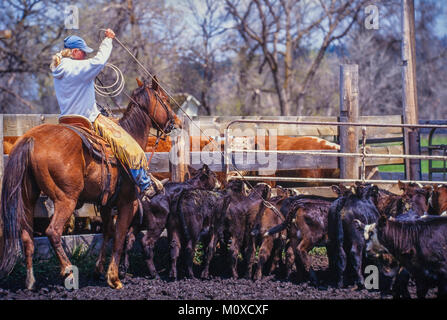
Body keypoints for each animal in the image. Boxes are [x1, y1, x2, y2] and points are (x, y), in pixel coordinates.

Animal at [0, 77, 182, 290]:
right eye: (165, 99)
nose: (177, 122)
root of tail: (31, 138)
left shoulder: (105, 204)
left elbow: (108, 232)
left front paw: (98, 271)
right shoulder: (128, 204)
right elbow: (119, 236)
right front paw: (114, 277)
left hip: (27, 197)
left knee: (27, 236)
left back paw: (30, 281)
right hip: (66, 199)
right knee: (53, 232)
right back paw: (68, 272)